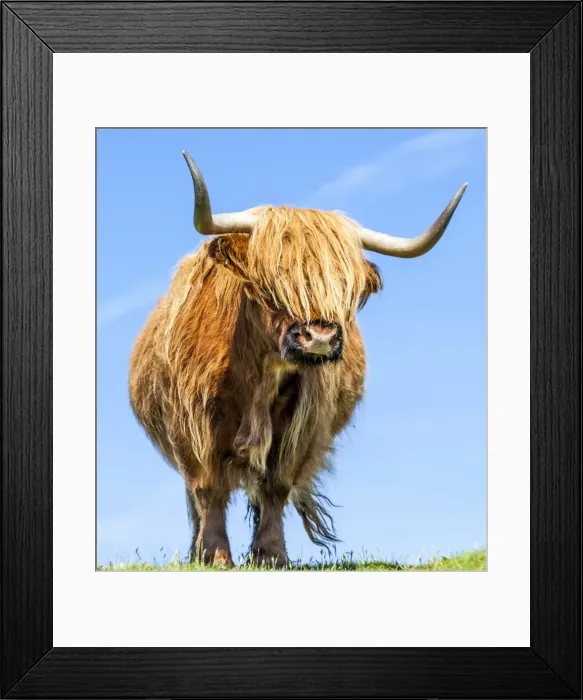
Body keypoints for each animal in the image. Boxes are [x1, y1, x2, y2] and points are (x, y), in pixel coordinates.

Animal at [129, 151, 467, 567]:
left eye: (346, 286)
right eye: (269, 280)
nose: (319, 337)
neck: (257, 376)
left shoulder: (301, 424)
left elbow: (275, 485)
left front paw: (271, 555)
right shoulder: (193, 425)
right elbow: (208, 489)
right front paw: (214, 556)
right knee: (196, 499)